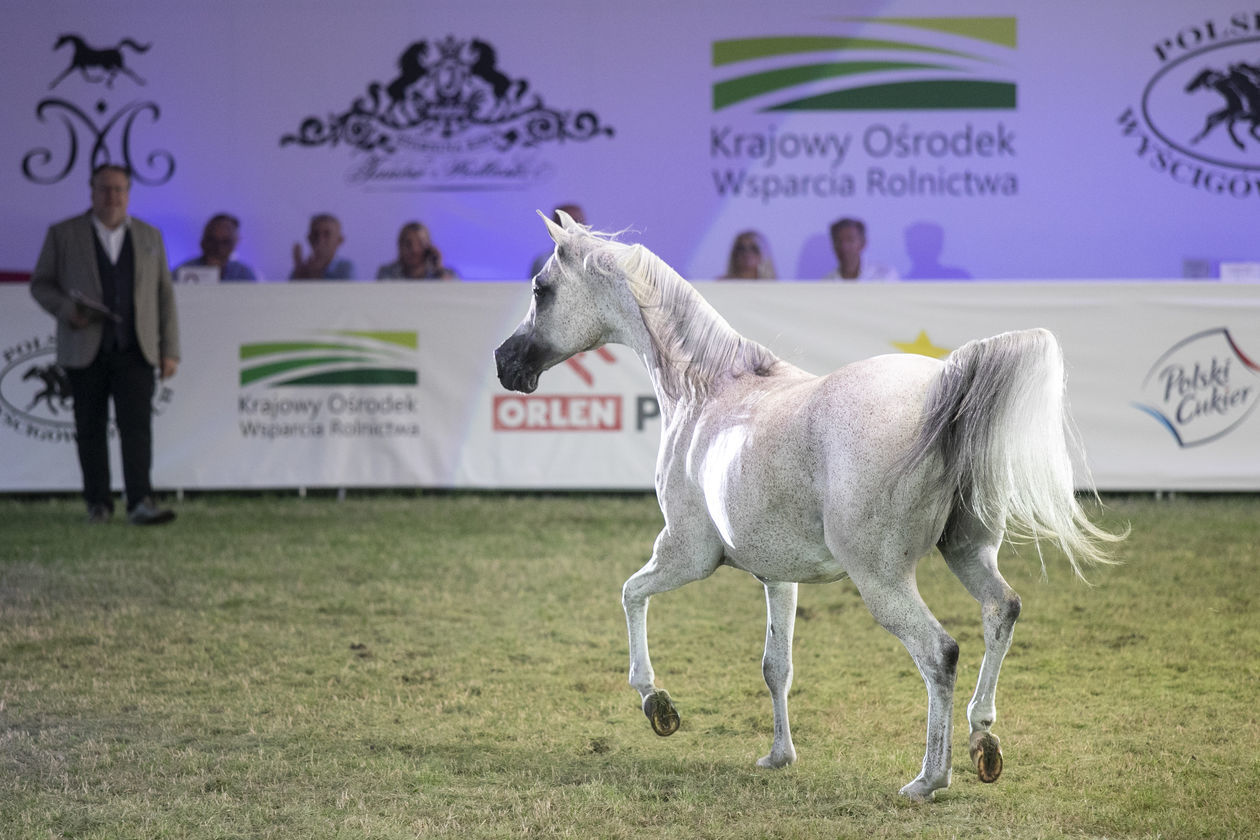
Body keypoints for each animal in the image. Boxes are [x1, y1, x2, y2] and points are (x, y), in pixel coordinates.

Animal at [493, 210, 1123, 800]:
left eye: (540, 288)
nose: (505, 362)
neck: (707, 392)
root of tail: (944, 392)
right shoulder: (777, 576)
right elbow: (776, 667)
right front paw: (779, 756)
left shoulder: (685, 555)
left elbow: (630, 594)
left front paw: (658, 706)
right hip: (968, 554)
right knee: (1001, 611)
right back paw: (982, 741)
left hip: (882, 580)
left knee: (939, 653)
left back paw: (929, 778)